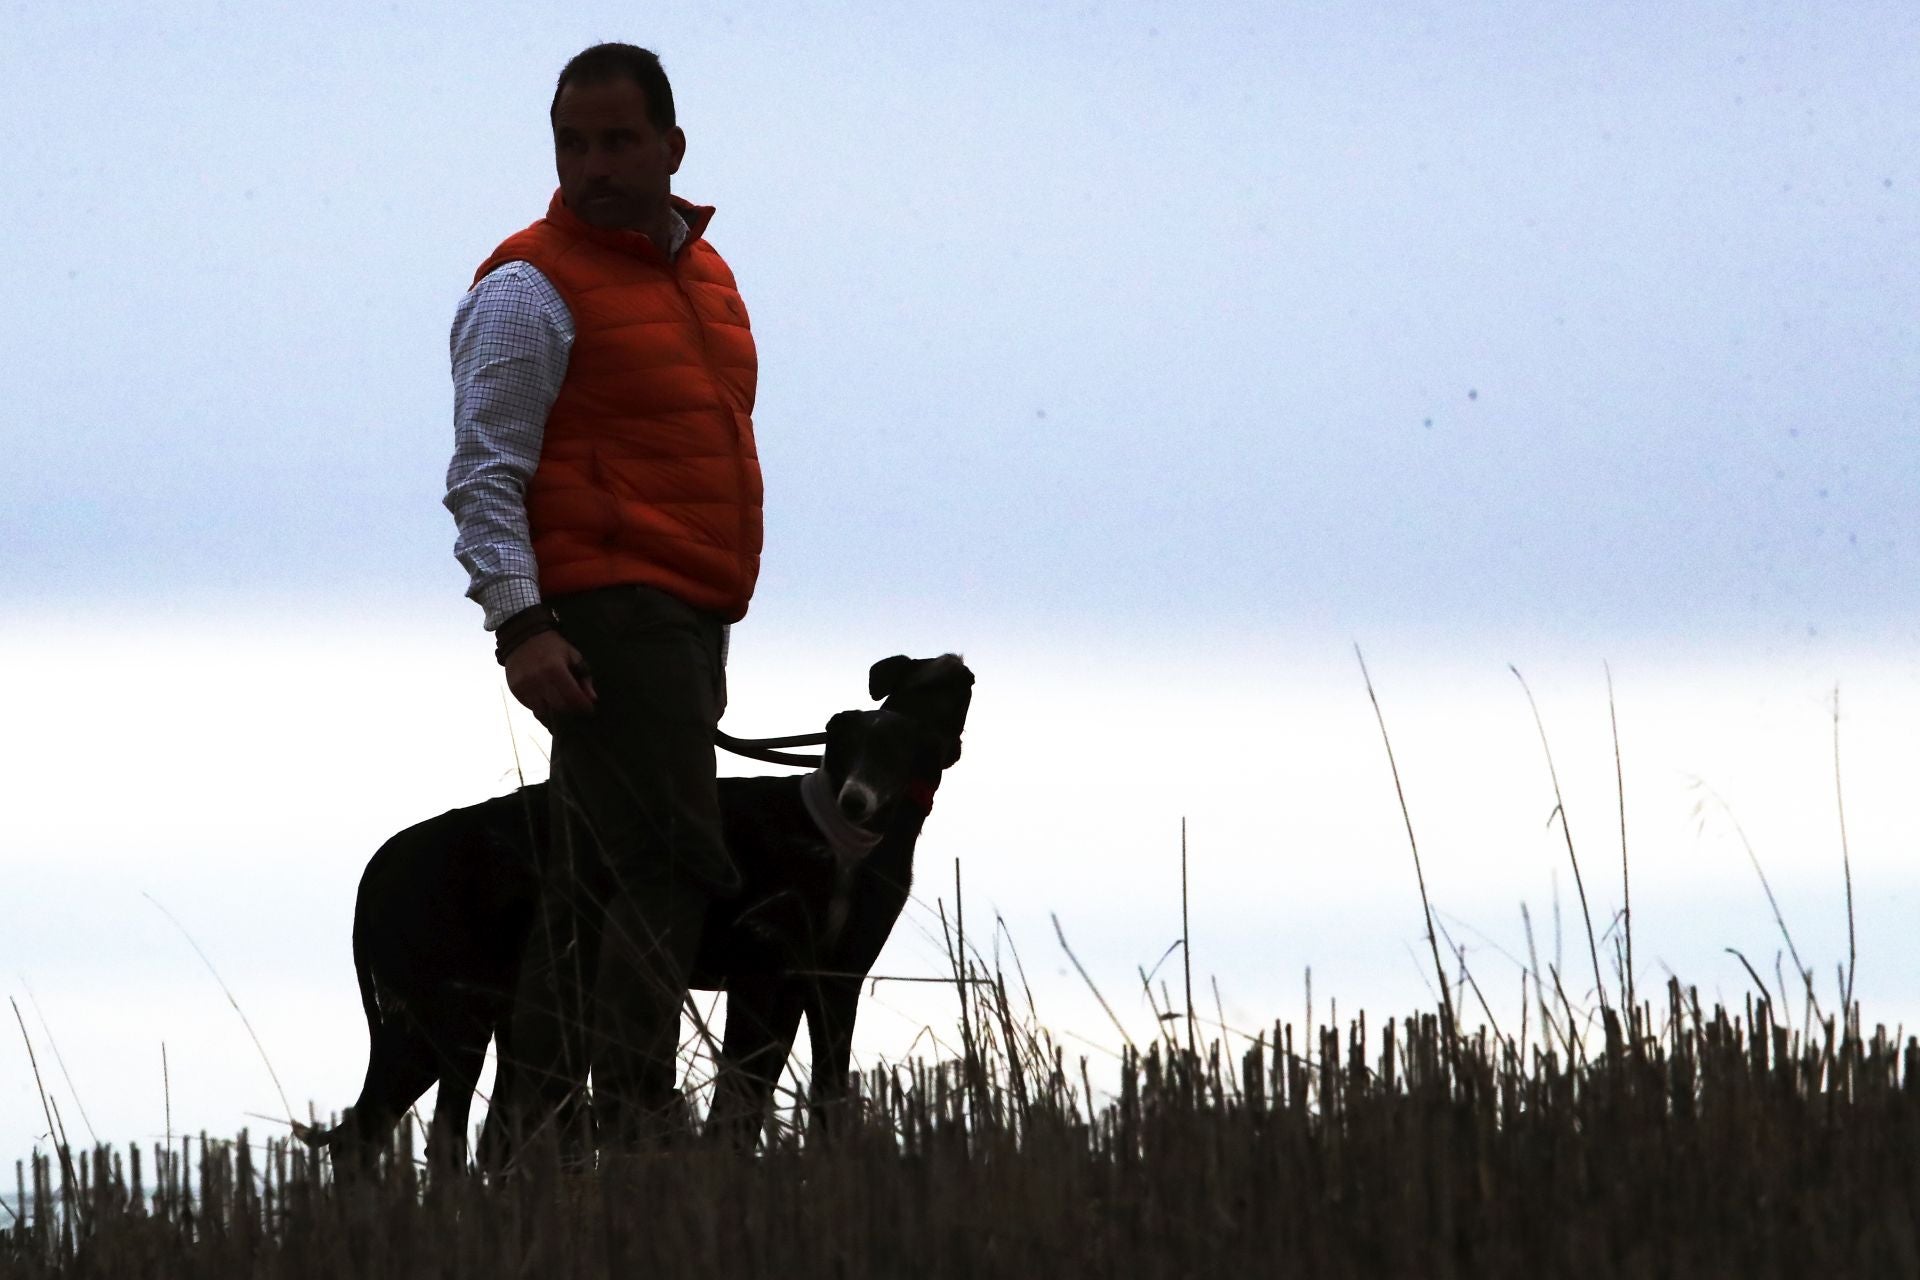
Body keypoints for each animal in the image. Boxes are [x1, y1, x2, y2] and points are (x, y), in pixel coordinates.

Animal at [318, 656, 975, 1166]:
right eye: (848, 747)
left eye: (901, 745)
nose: (857, 800)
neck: (835, 838)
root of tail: (384, 859)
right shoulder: (761, 981)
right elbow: (737, 1102)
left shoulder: (830, 983)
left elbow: (820, 1096)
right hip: (445, 1018)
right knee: (371, 1135)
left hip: (476, 1019)